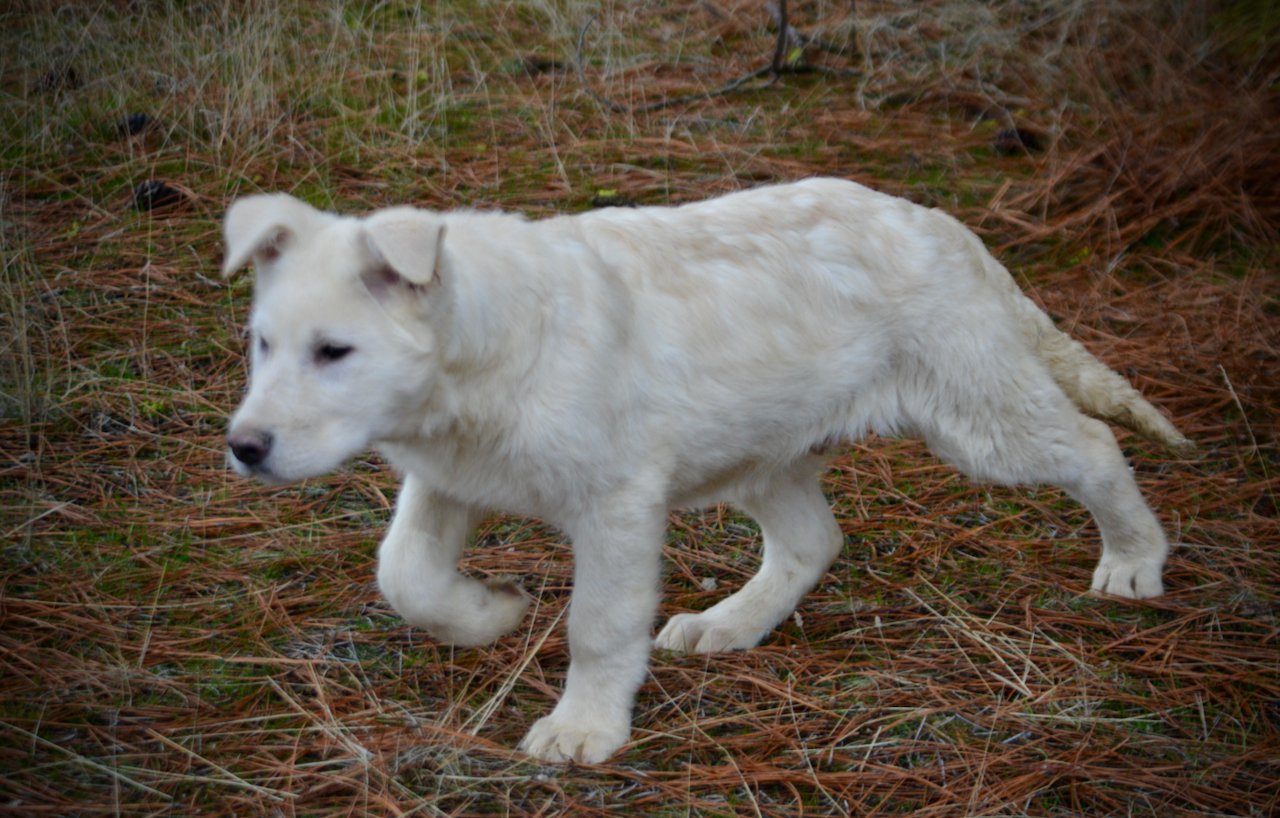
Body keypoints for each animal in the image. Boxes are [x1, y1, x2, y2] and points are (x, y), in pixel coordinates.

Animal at [222, 177, 1187, 762]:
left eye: (335, 351)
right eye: (262, 344)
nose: (245, 448)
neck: (483, 354)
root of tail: (944, 225)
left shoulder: (615, 502)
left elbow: (598, 625)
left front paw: (583, 731)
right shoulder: (449, 479)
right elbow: (406, 575)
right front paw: (490, 613)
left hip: (977, 415)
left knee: (1092, 446)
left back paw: (1133, 562)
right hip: (764, 448)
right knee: (811, 541)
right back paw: (730, 625)